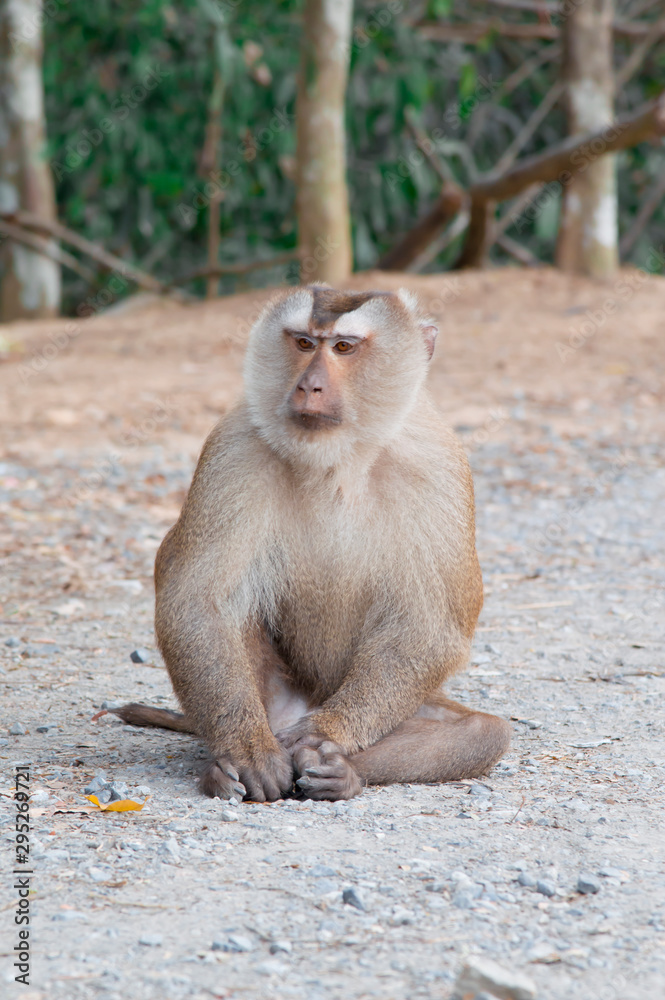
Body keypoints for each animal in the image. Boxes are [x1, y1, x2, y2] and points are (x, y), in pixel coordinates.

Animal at [109, 285, 511, 802]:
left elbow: (428, 625)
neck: (336, 462)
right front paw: (247, 750)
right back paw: (226, 763)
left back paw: (341, 770)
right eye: (303, 343)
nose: (308, 387)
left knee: (484, 732)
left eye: (343, 347)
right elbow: (197, 601)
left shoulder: (437, 462)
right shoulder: (234, 448)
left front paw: (324, 736)